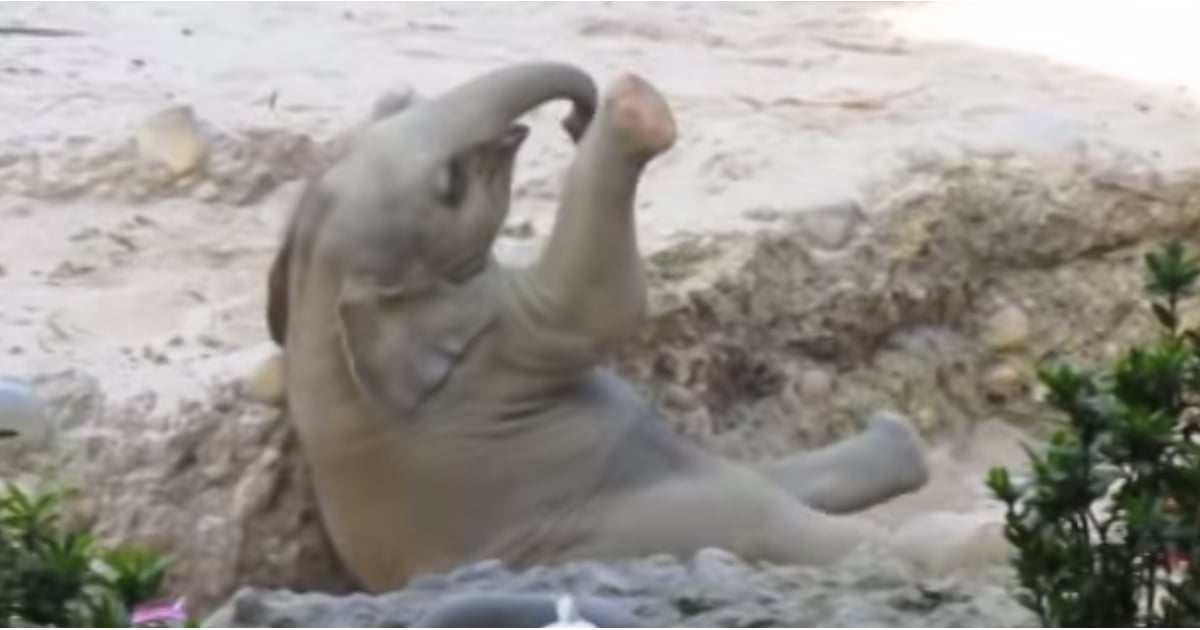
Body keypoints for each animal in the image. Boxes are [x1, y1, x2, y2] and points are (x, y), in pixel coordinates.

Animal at [256, 61, 949, 592]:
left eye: (397, 105)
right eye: (449, 186)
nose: (575, 115)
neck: (321, 288)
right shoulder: (499, 356)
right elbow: (603, 304)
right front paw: (635, 110)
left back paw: (897, 435)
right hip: (648, 527)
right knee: (803, 530)